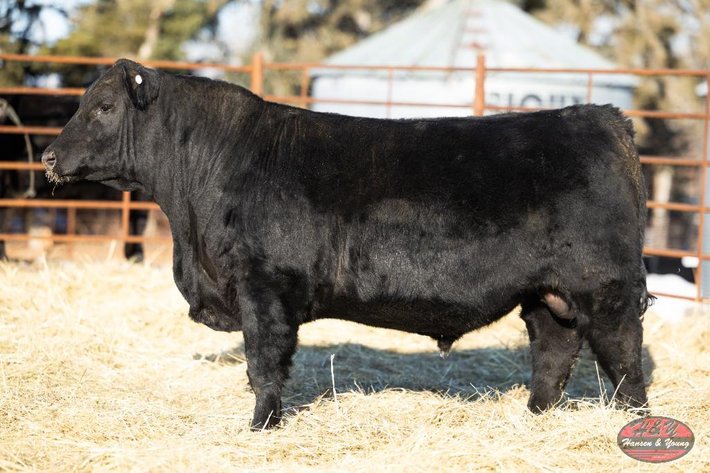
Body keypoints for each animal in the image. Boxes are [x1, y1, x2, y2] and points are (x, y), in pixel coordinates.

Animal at [42, 59, 651, 430]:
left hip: (606, 289)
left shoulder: (263, 286)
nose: (48, 155)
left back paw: (635, 424)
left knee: (624, 361)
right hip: (548, 295)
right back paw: (534, 417)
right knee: (554, 352)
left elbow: (264, 361)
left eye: (104, 107)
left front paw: (261, 425)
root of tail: (606, 119)